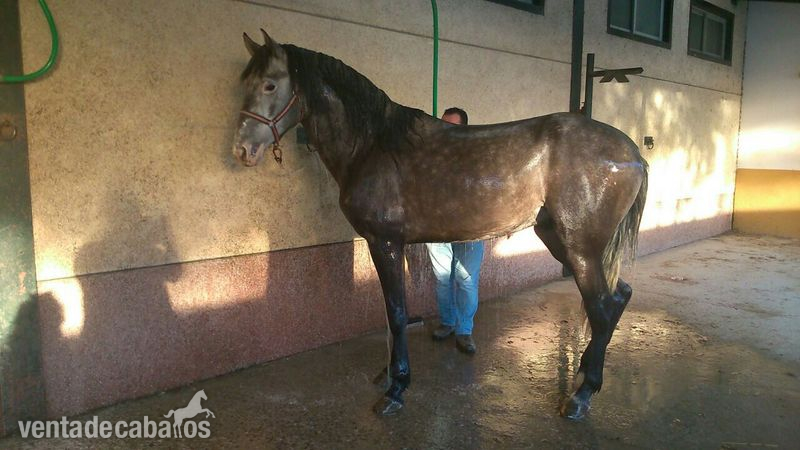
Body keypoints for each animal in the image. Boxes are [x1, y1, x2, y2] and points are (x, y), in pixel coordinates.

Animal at [232, 29, 648, 420]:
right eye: (244, 83)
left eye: (270, 84)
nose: (241, 150)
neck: (373, 145)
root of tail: (632, 153)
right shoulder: (385, 244)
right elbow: (390, 314)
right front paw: (387, 375)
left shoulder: (385, 242)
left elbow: (397, 313)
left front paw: (396, 389)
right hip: (565, 241)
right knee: (619, 295)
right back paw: (583, 378)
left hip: (580, 247)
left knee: (601, 306)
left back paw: (580, 397)